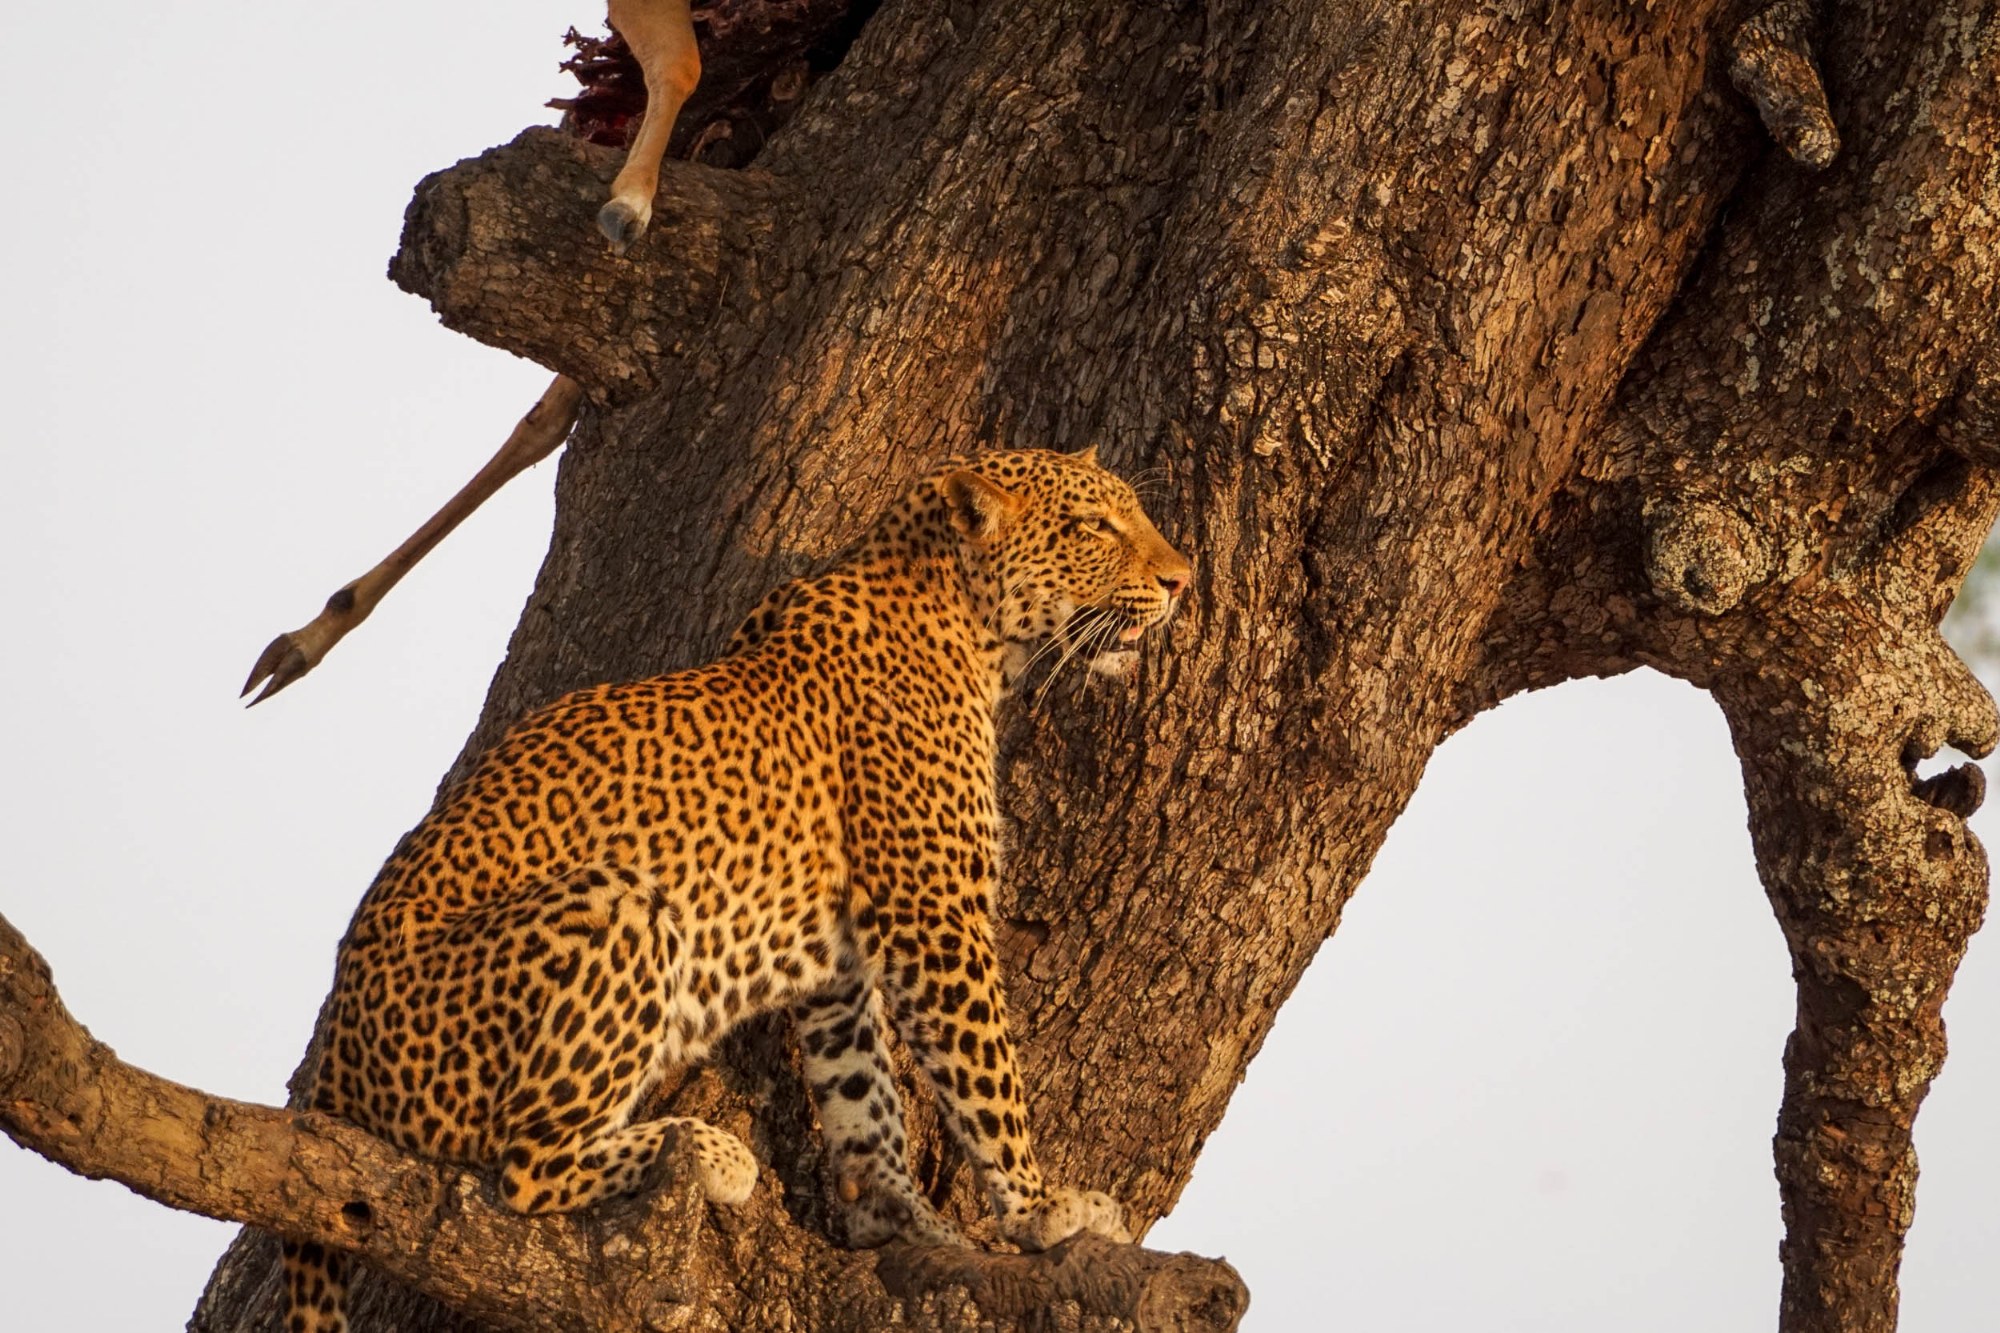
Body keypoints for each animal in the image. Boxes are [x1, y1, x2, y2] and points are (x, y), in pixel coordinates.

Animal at [280, 447, 1194, 1333]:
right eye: (1092, 525)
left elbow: (865, 1093)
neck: (971, 627)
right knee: (526, 1163)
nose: (1182, 578)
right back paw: (710, 1150)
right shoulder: (935, 919)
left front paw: (901, 1216)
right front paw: (1040, 1208)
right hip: (620, 903)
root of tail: (339, 1064)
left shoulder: (844, 967)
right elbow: (988, 1078)